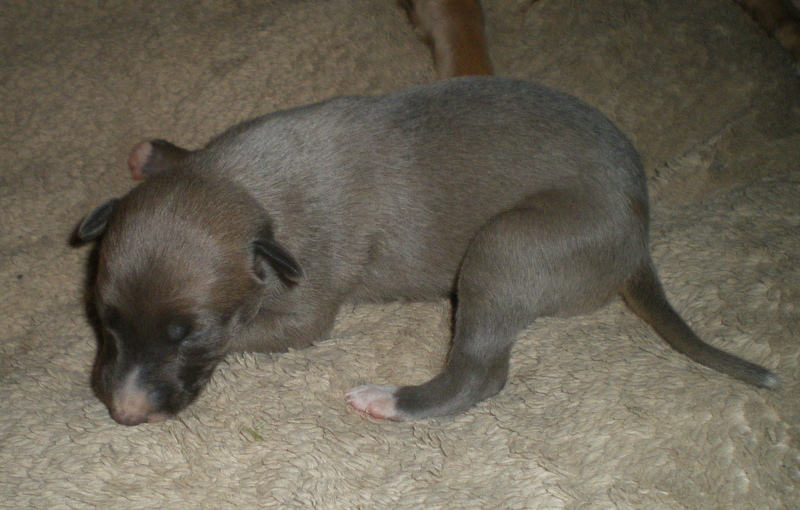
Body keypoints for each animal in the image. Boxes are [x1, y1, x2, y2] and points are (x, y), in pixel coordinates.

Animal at [77, 77, 777, 425]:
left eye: (190, 335)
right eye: (103, 322)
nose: (125, 415)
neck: (244, 184)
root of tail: (639, 240)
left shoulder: (305, 311)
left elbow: (264, 329)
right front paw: (160, 154)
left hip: (506, 247)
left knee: (481, 374)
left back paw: (393, 399)